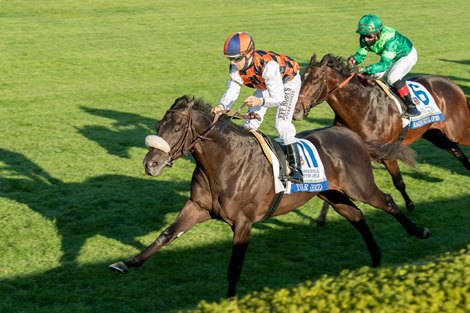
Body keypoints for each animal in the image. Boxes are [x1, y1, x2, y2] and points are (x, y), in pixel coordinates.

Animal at [107, 94, 430, 294]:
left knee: (386, 202)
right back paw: (376, 257)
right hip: (332, 194)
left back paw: (419, 231)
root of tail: (354, 136)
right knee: (357, 215)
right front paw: (126, 263)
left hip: (359, 185)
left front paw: (229, 299)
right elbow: (166, 235)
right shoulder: (198, 206)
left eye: (175, 127)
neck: (224, 162)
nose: (150, 164)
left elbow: (235, 265)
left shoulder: (243, 222)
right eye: (157, 125)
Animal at [296, 53, 468, 218]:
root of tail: (452, 84)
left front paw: (409, 204)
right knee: (457, 152)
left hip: (457, 130)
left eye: (315, 81)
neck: (361, 107)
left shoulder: (387, 153)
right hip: (435, 134)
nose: (297, 110)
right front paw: (322, 217)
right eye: (302, 78)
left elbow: (398, 181)